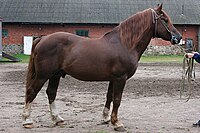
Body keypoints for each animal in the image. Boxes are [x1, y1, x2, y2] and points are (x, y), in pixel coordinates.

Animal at [22, 4, 181, 131]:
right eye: (165, 20)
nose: (178, 38)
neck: (124, 44)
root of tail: (43, 38)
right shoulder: (120, 78)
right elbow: (117, 99)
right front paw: (117, 123)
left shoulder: (113, 79)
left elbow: (109, 97)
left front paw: (106, 118)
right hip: (43, 75)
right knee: (31, 91)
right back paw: (27, 120)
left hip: (55, 75)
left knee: (51, 93)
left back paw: (57, 119)